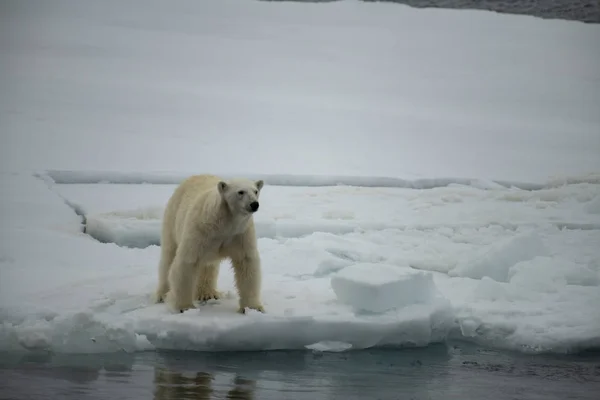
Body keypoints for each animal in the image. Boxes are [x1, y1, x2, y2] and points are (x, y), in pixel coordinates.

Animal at [155, 173, 264, 314]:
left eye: (256, 191)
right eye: (240, 192)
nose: (254, 204)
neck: (224, 224)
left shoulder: (240, 234)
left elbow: (247, 264)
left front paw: (253, 308)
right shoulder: (200, 231)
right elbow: (186, 263)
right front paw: (185, 307)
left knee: (208, 266)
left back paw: (208, 293)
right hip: (173, 218)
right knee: (168, 255)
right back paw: (162, 295)